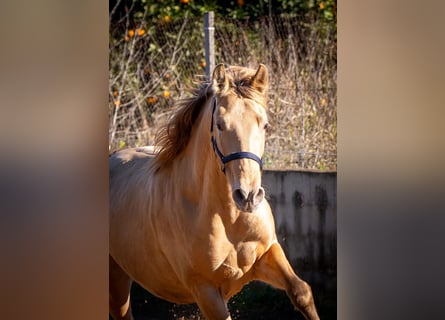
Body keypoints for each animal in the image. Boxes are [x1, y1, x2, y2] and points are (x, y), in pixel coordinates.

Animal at [110, 63, 320, 318]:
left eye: (265, 125)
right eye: (220, 124)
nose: (248, 197)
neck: (229, 218)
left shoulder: (267, 254)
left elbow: (301, 291)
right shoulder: (205, 290)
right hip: (116, 279)